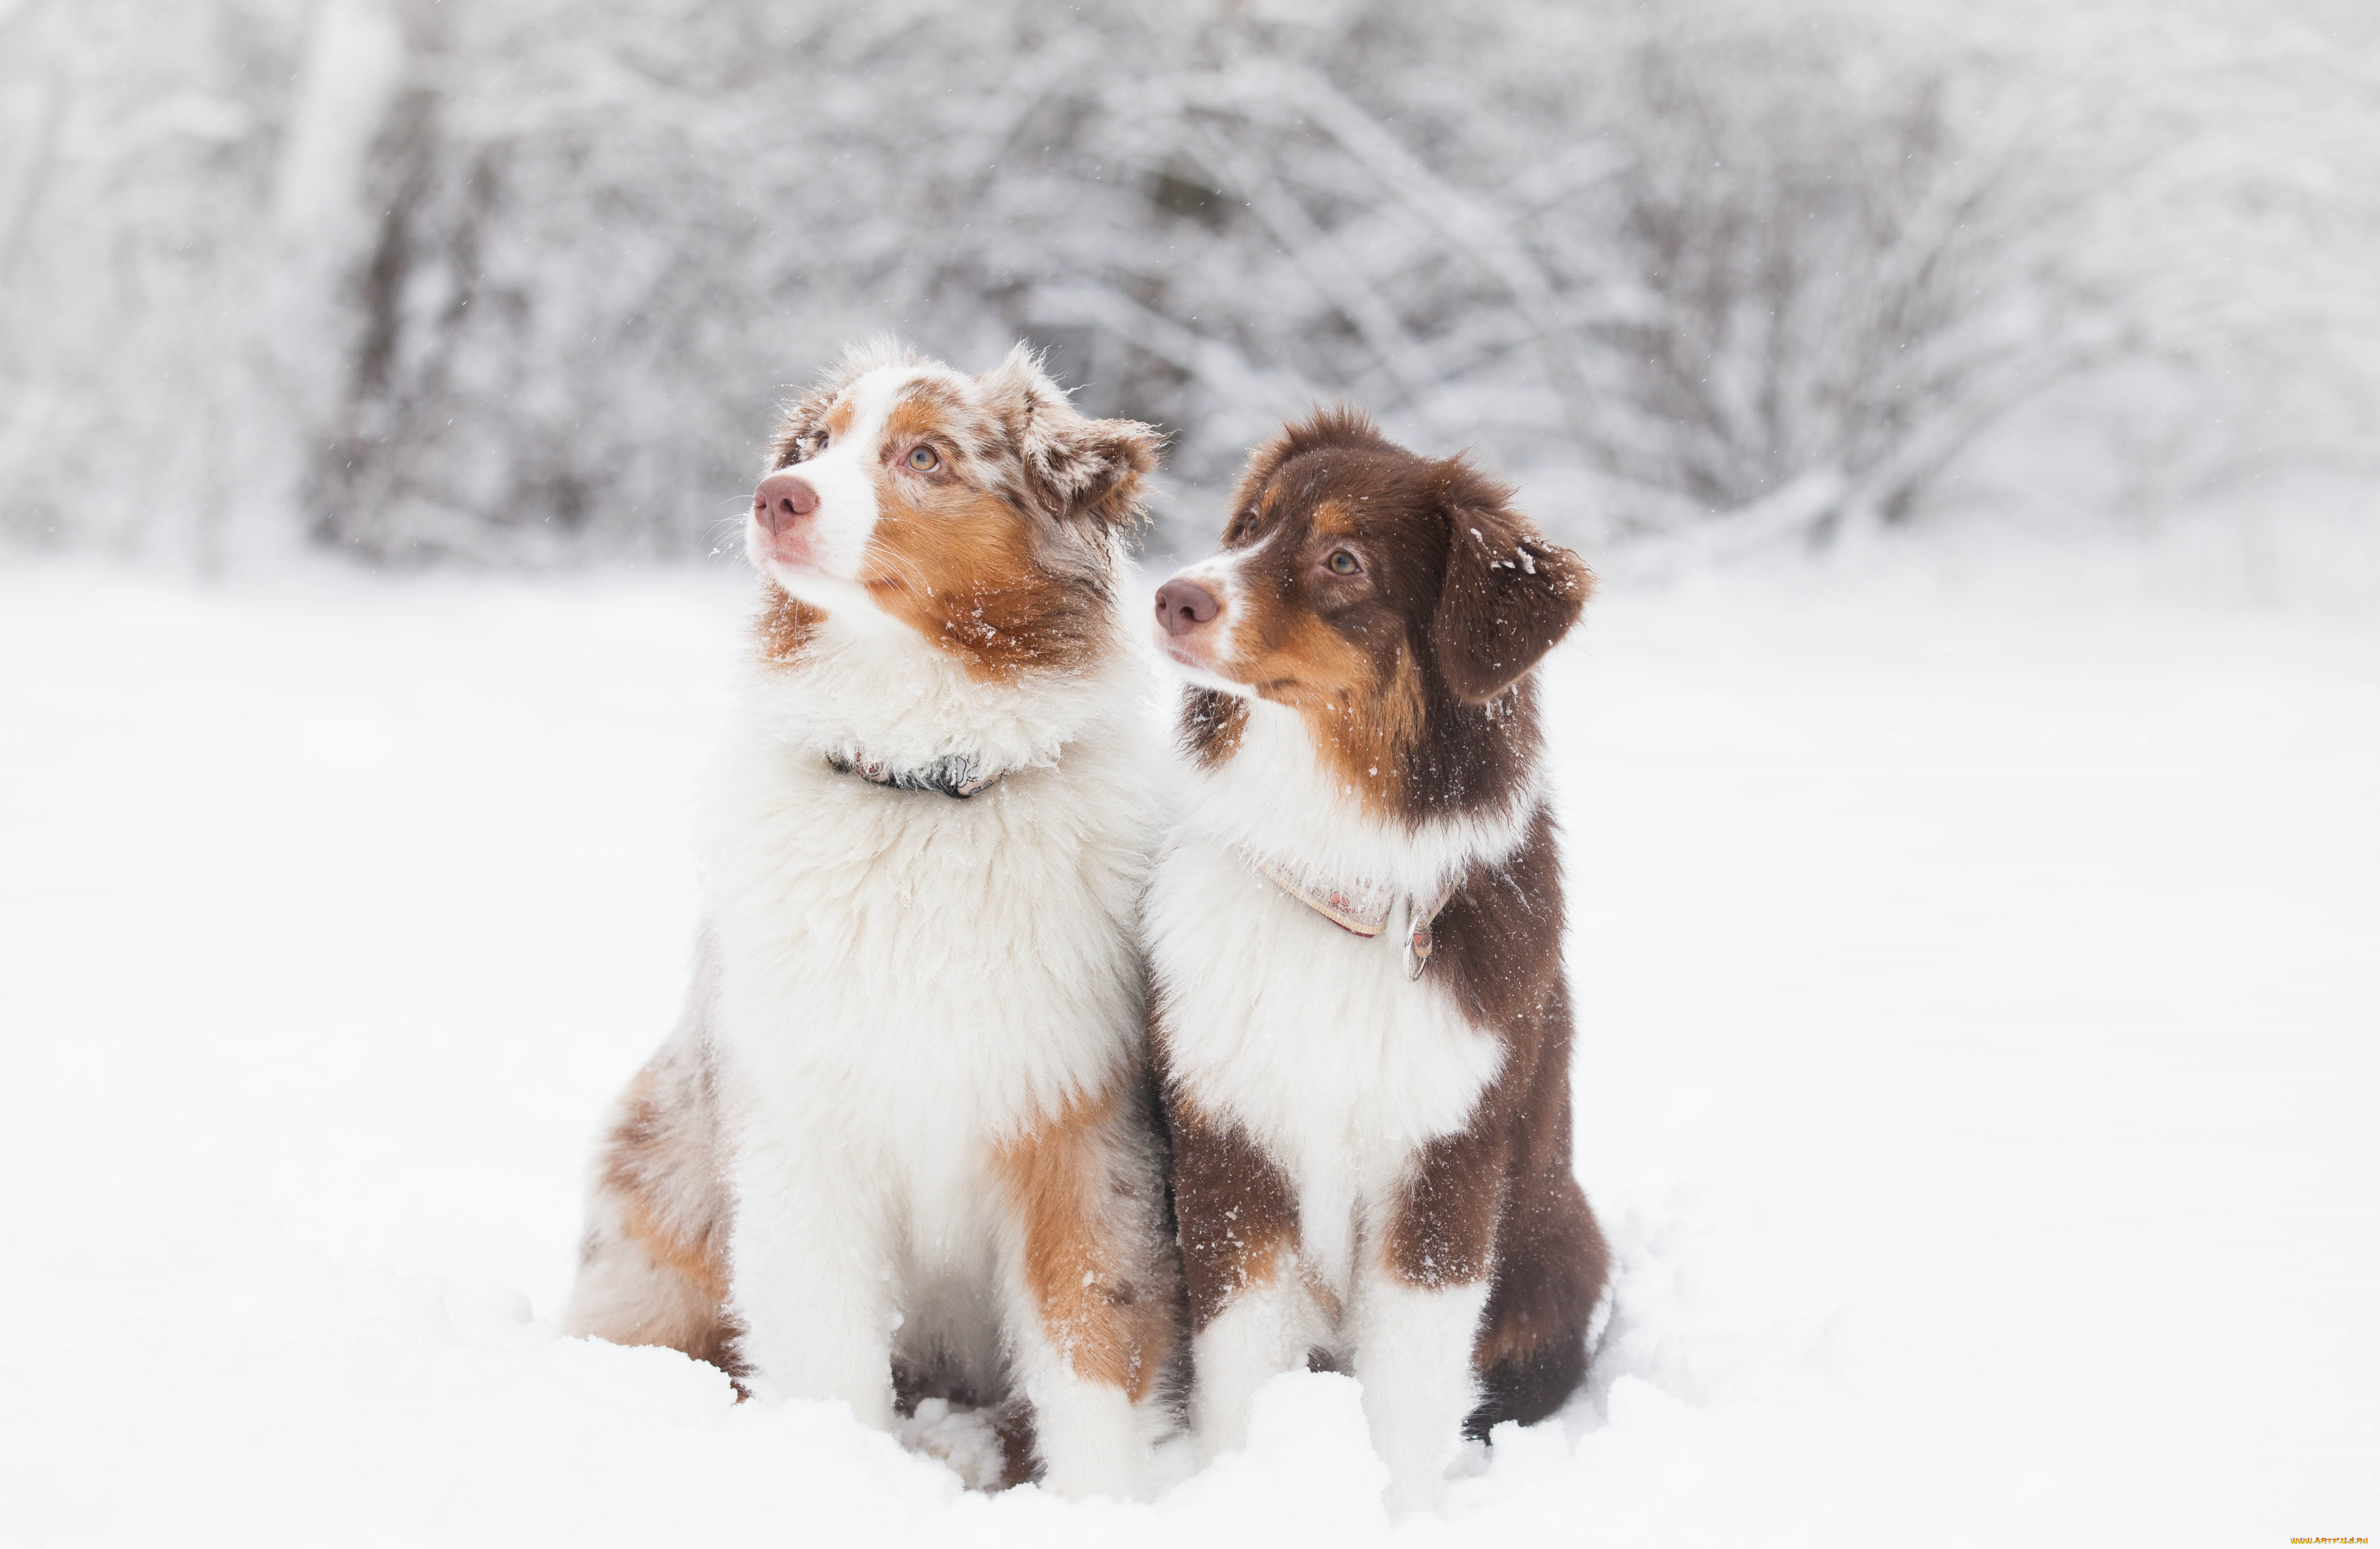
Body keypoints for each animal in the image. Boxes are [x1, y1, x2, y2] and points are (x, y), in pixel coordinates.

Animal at [566, 343, 1180, 1504]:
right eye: (815, 444)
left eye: (926, 456)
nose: (777, 495)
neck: (920, 784)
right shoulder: (804, 1124)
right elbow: (824, 1349)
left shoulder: (1077, 1123)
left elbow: (1090, 1339)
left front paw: (1103, 1505)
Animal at [1142, 409, 1609, 1513]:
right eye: (1251, 524)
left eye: (1342, 560)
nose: (1173, 595)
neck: (1340, 867)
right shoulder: (1231, 1142)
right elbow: (1244, 1362)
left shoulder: (1444, 1161)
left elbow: (1410, 1384)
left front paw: (1399, 1513)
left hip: (1558, 1249)